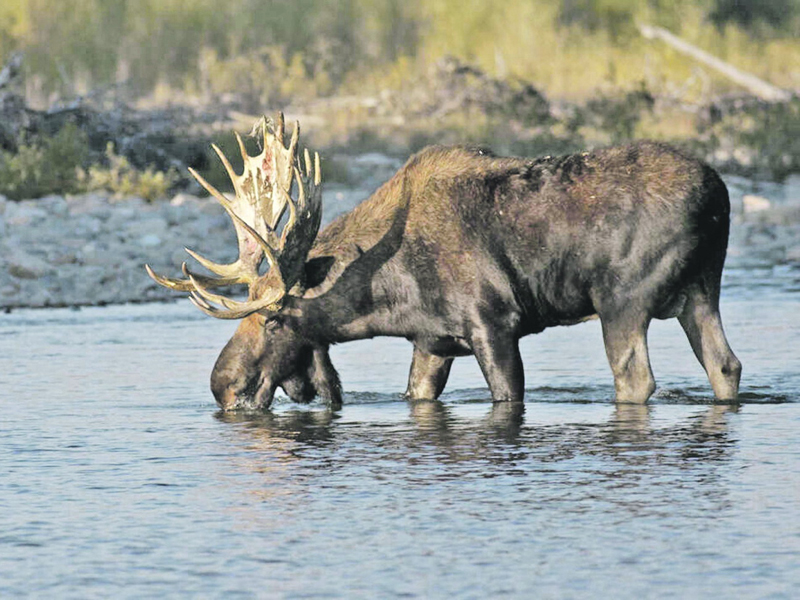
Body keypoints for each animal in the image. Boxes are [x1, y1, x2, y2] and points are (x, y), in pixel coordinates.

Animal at [147, 113, 740, 410]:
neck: (385, 299)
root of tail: (719, 195)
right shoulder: (432, 342)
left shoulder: (493, 323)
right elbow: (416, 395)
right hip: (701, 290)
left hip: (623, 300)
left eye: (273, 320)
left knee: (635, 379)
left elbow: (506, 397)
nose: (223, 386)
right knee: (725, 365)